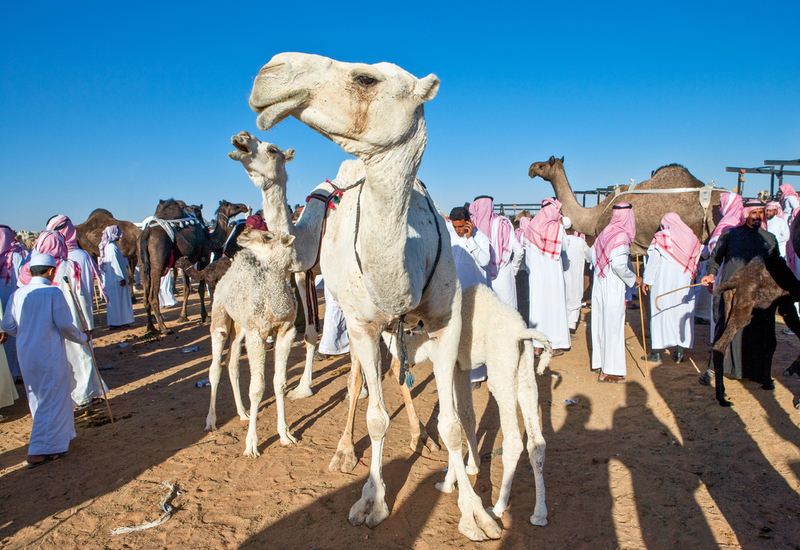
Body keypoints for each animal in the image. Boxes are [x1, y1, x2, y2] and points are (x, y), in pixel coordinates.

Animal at [138, 198, 211, 336]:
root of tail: (146, 234)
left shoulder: (185, 261)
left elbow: (187, 288)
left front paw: (183, 317)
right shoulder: (204, 256)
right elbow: (201, 288)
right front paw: (205, 316)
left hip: (142, 265)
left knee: (145, 297)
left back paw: (150, 328)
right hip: (157, 265)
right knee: (153, 296)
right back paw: (164, 328)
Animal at [205, 229, 298, 458]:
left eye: (267, 236)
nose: (244, 233)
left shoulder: (286, 332)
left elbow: (280, 382)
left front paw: (286, 435)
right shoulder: (257, 334)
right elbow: (257, 387)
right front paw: (251, 445)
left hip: (240, 329)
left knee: (232, 363)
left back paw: (242, 413)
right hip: (220, 316)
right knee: (215, 367)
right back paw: (211, 421)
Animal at [248, 54, 500, 540]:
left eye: (366, 78)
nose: (269, 70)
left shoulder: (445, 322)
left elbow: (452, 423)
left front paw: (475, 513)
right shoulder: (362, 324)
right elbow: (376, 417)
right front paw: (372, 501)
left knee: (397, 375)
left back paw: (417, 434)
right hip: (346, 311)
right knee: (355, 380)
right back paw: (345, 451)